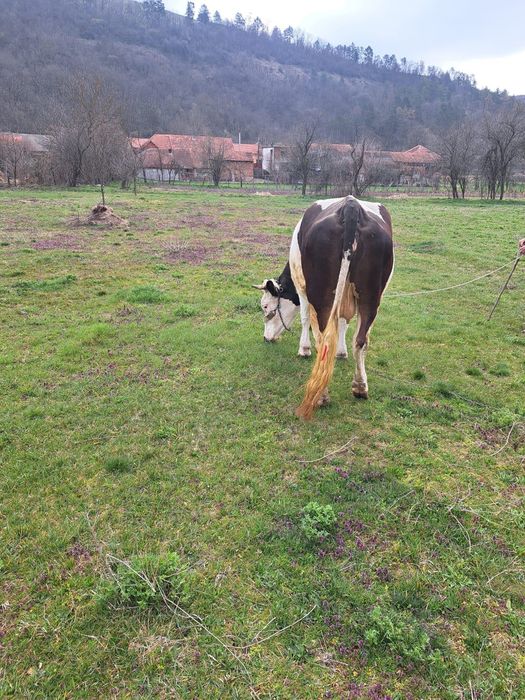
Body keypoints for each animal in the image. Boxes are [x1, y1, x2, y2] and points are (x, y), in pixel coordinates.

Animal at [254, 196, 394, 419]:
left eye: (266, 307)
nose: (266, 338)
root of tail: (351, 205)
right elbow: (343, 323)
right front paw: (342, 352)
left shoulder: (302, 286)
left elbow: (304, 318)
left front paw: (304, 349)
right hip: (372, 295)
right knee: (361, 340)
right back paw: (360, 387)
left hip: (322, 295)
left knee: (324, 340)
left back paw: (321, 396)